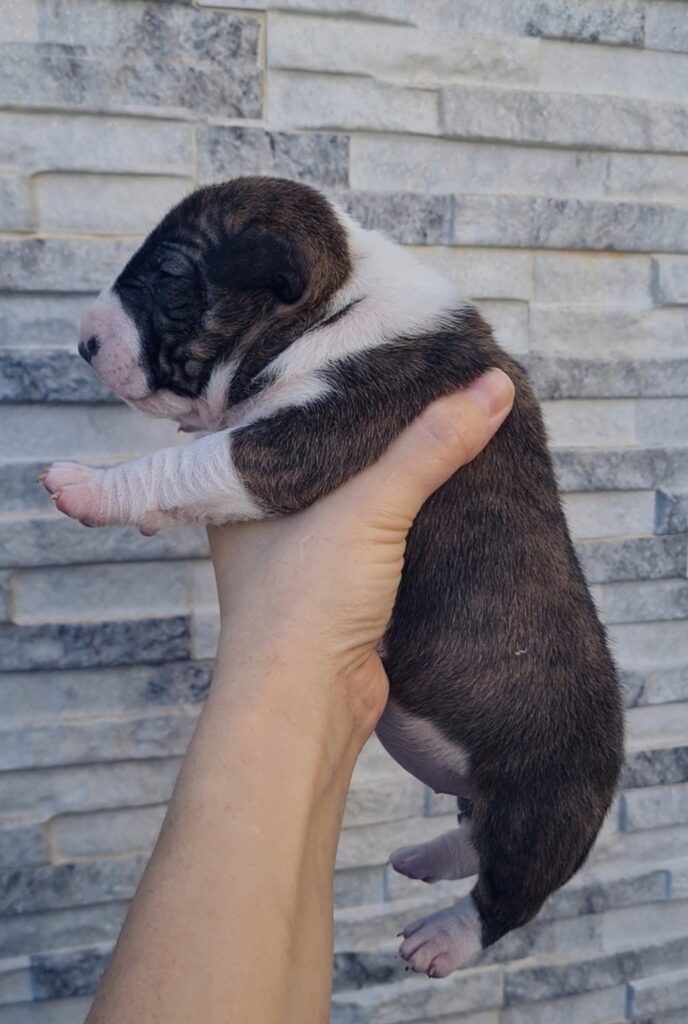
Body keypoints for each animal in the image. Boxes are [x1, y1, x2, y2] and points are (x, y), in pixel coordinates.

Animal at [41, 180, 622, 978]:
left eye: (167, 274)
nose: (82, 341)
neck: (334, 302)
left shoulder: (308, 437)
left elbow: (187, 464)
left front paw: (88, 487)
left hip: (540, 808)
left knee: (509, 894)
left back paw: (445, 935)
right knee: (472, 836)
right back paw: (426, 856)